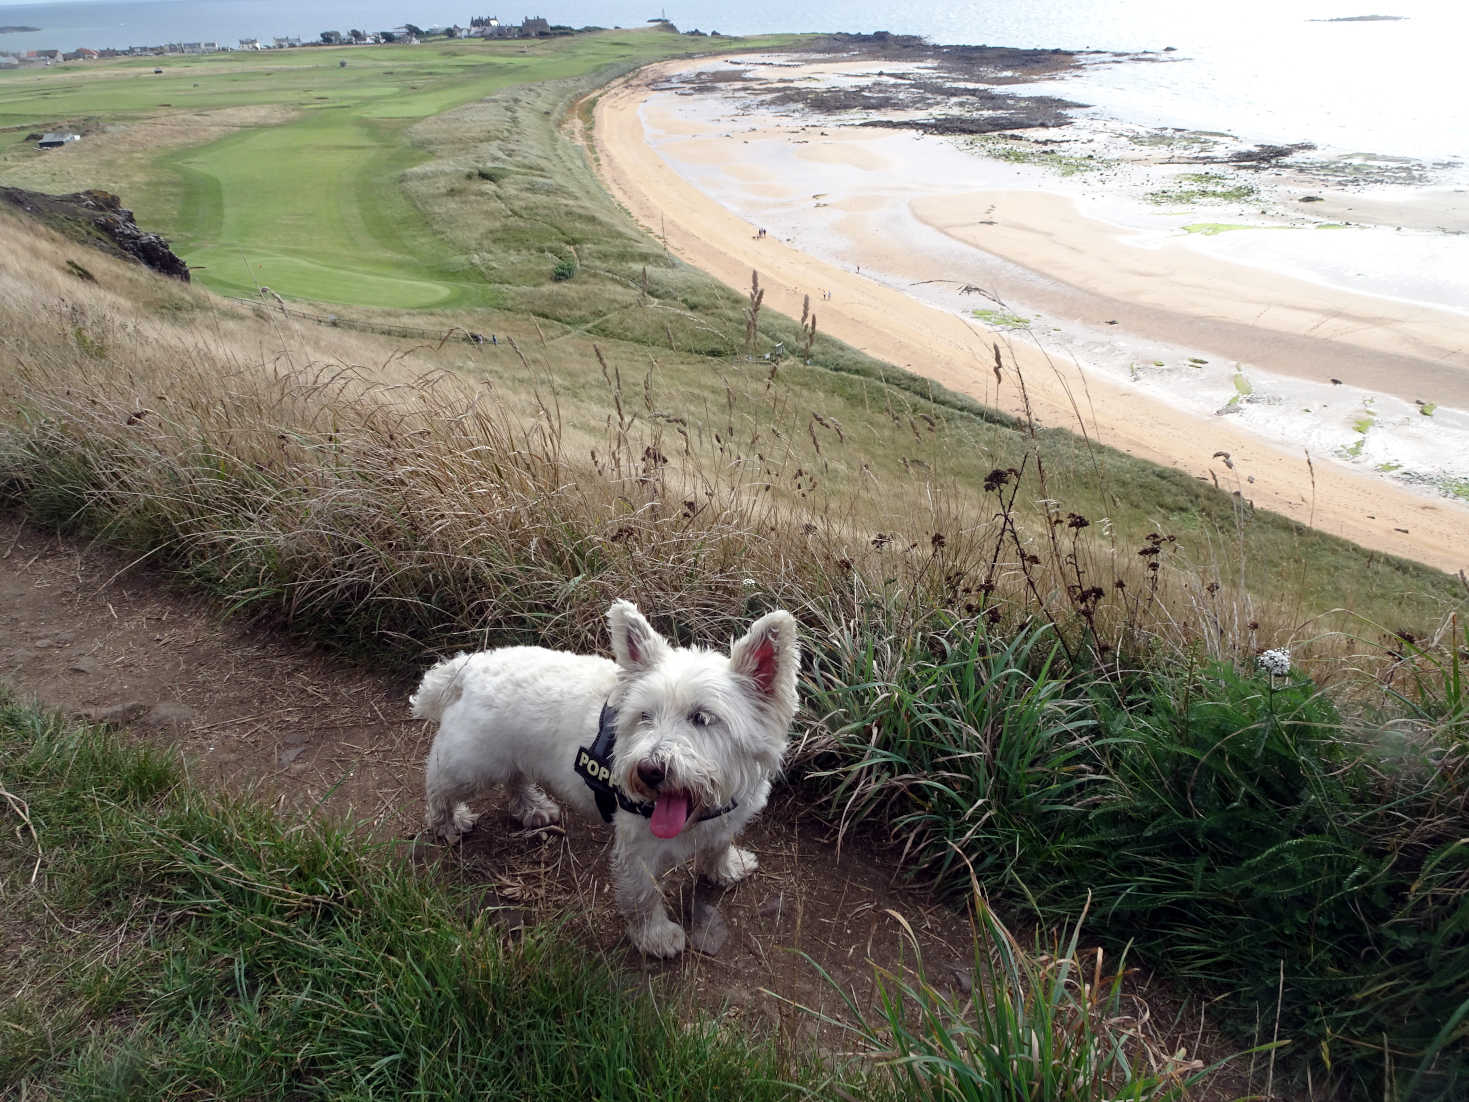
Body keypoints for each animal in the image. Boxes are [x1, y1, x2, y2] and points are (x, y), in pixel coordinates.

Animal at [411, 605, 805, 958]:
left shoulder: (727, 820)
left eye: (702, 717)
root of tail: (470, 666)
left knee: (516, 779)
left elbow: (719, 846)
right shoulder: (637, 849)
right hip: (471, 765)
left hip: (511, 755)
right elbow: (643, 895)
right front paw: (656, 937)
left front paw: (727, 869)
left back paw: (532, 807)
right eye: (644, 715)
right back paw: (448, 823)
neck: (702, 809)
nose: (648, 770)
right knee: (438, 786)